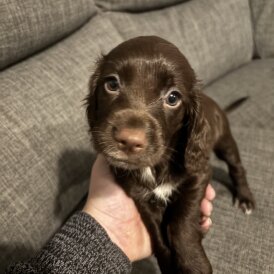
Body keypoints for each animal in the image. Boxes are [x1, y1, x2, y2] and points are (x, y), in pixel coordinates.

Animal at [86, 36, 255, 274]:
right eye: (112, 84)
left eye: (173, 98)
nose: (129, 140)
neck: (155, 166)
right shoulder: (141, 196)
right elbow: (157, 233)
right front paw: (169, 265)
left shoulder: (198, 176)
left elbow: (180, 224)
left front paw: (194, 264)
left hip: (224, 142)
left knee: (236, 166)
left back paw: (245, 199)